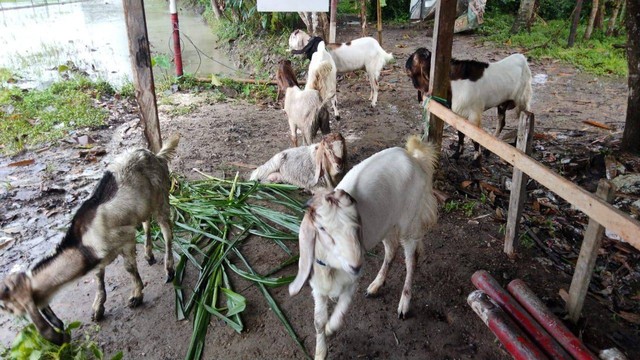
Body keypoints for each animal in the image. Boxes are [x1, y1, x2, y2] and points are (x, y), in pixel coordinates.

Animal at [0, 136, 180, 346]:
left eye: (7, 307)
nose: (61, 337)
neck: (82, 245)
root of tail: (155, 155)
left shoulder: (125, 238)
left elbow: (129, 269)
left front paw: (136, 296)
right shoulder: (101, 255)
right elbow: (98, 278)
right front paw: (98, 308)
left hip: (161, 195)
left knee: (166, 231)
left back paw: (169, 269)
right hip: (143, 205)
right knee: (146, 222)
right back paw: (149, 254)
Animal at [290, 136, 440, 360]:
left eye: (355, 226)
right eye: (322, 229)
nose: (356, 265)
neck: (331, 267)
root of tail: (414, 156)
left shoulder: (350, 282)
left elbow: (340, 313)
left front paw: (331, 328)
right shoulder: (317, 285)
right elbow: (318, 321)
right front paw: (320, 351)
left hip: (410, 221)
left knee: (411, 259)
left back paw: (404, 304)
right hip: (386, 224)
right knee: (391, 250)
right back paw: (376, 285)